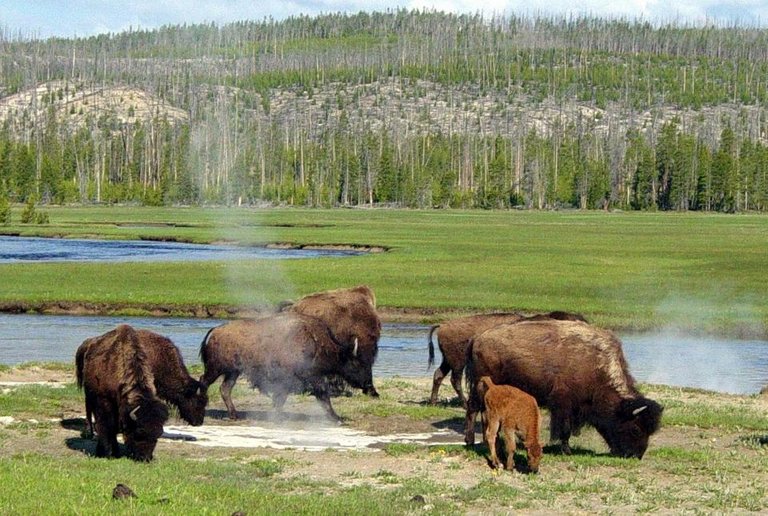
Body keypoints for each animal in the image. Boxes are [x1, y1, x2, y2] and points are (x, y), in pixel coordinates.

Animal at [74, 324, 170, 462]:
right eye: (139, 432)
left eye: (159, 434)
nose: (145, 458)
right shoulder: (104, 402)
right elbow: (107, 426)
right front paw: (107, 453)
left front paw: (115, 452)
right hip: (88, 394)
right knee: (89, 410)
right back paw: (89, 433)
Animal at [200, 312, 370, 422]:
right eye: (356, 363)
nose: (367, 384)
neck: (316, 342)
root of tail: (215, 330)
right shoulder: (307, 378)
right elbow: (323, 396)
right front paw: (337, 418)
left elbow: (282, 398)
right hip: (216, 369)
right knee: (204, 381)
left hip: (233, 372)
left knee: (225, 388)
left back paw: (234, 416)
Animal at [426, 310, 588, 408]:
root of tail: (443, 325)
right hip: (457, 362)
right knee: (455, 380)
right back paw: (464, 404)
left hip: (448, 360)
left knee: (439, 375)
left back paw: (434, 402)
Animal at [464, 318, 664, 460]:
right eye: (636, 429)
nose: (636, 455)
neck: (595, 367)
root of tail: (478, 339)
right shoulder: (564, 403)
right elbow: (564, 428)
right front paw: (566, 450)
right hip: (481, 387)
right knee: (473, 409)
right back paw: (471, 441)